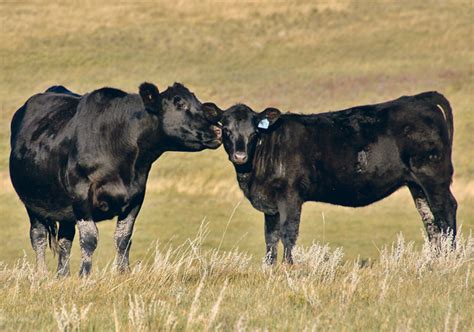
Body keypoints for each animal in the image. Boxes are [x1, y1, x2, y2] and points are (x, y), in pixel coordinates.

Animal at [9, 81, 224, 276]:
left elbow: (123, 238)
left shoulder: (136, 197)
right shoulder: (81, 195)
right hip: (32, 203)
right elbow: (89, 238)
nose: (218, 130)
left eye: (198, 103)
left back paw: (63, 276)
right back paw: (42, 275)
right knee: (38, 236)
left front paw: (123, 273)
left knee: (64, 239)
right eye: (180, 103)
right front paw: (85, 275)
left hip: (64, 209)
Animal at [218, 92, 456, 264]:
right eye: (226, 130)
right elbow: (270, 236)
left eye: (254, 133)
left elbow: (288, 232)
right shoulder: (270, 204)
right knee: (429, 218)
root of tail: (420, 99)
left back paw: (452, 258)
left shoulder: (290, 195)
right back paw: (435, 260)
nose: (240, 155)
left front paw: (288, 266)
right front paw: (269, 267)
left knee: (445, 210)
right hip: (416, 183)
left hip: (433, 175)